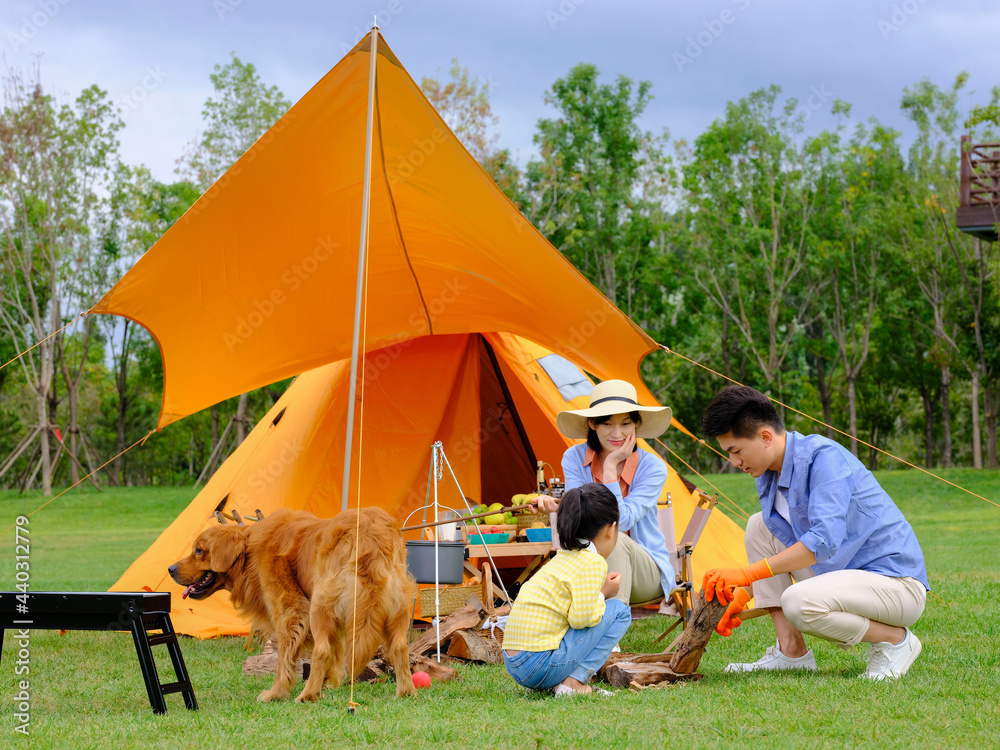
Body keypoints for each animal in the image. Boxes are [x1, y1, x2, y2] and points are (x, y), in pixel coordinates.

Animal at [168, 508, 414, 704]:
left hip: (320, 605)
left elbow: (284, 659)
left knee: (321, 650)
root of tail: (372, 532)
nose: (170, 569)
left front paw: (276, 693)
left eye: (199, 550)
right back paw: (407, 692)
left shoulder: (289, 611)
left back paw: (306, 696)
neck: (248, 552)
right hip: (397, 606)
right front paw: (325, 683)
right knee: (400, 646)